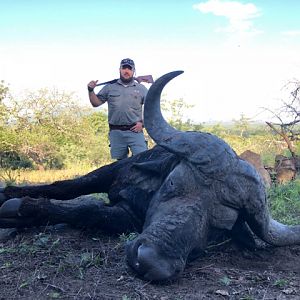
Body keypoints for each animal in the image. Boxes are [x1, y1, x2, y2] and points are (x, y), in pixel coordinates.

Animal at [0, 71, 300, 282]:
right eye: (172, 183)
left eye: (222, 225)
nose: (150, 262)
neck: (144, 193)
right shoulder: (114, 171)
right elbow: (68, 186)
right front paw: (12, 195)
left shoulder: (127, 217)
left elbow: (90, 211)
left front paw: (22, 211)